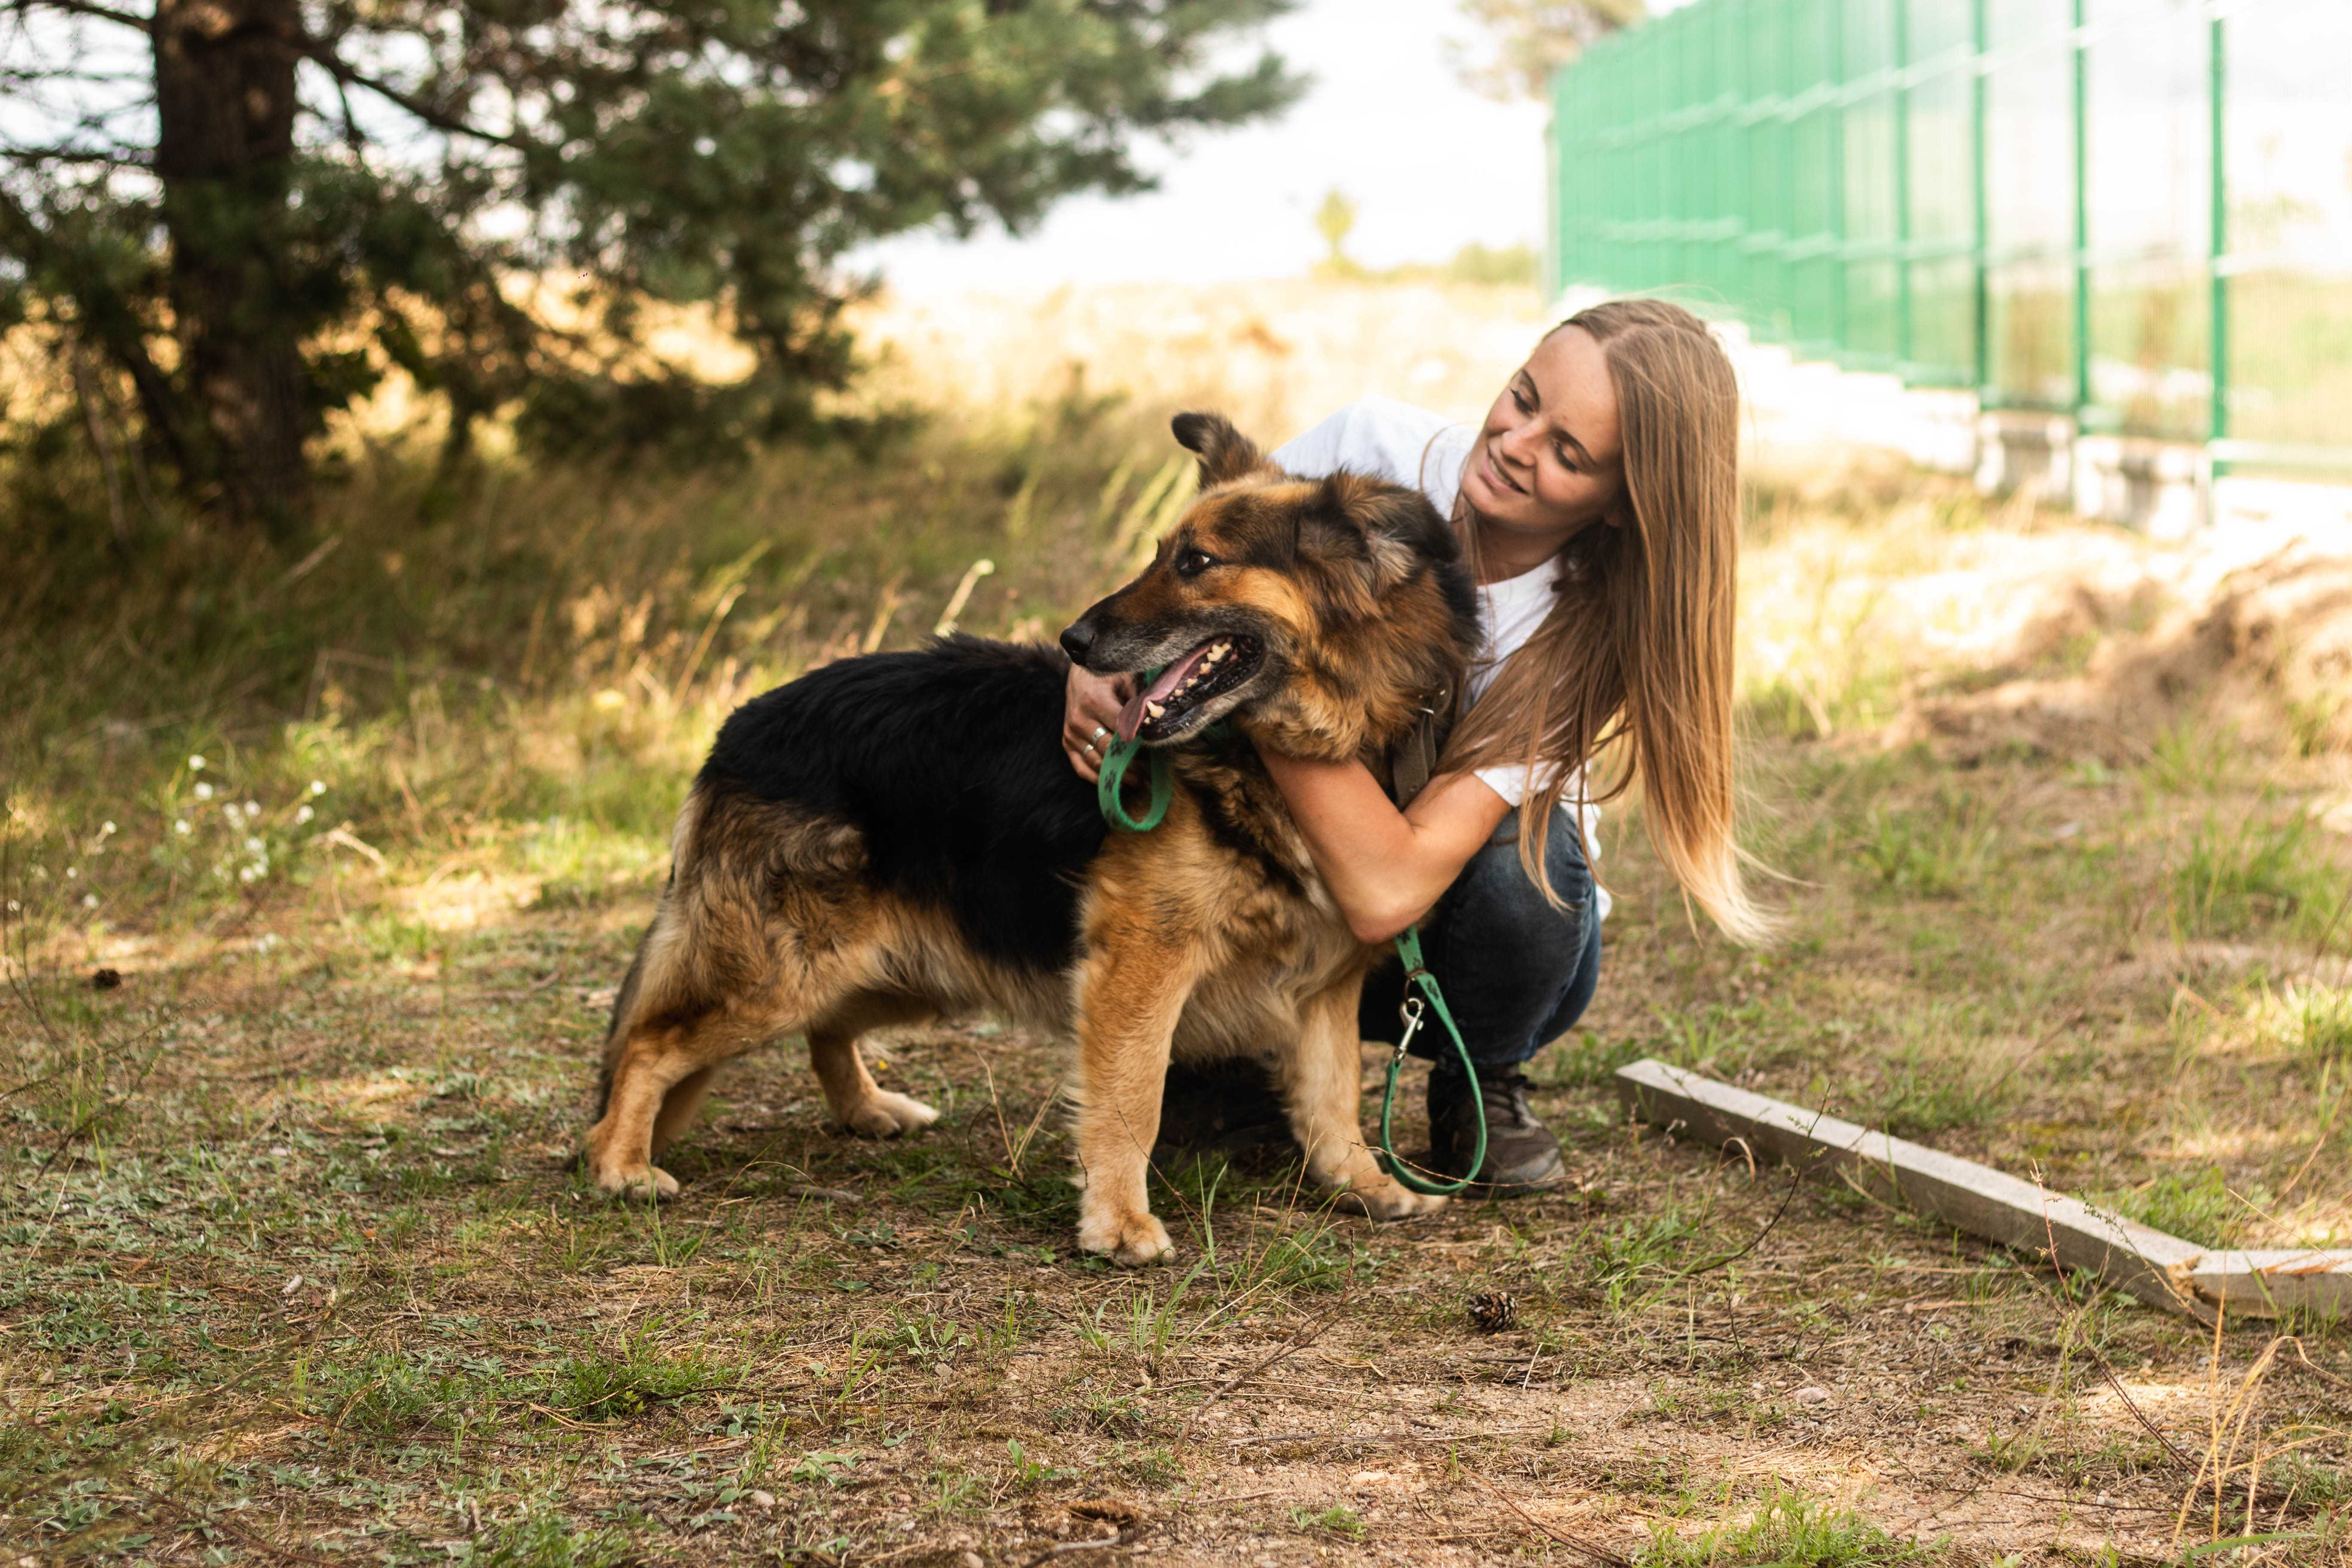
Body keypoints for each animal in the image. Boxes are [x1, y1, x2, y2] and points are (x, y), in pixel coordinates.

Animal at [583, 413, 1467, 1260]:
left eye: (1198, 562)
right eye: (1160, 555)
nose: (1074, 640)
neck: (1274, 750)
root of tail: (740, 725)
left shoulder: (1326, 976)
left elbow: (1333, 1094)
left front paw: (1362, 1182)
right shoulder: (1143, 962)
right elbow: (1132, 1097)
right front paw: (1118, 1223)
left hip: (894, 961)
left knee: (823, 1026)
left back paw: (866, 1108)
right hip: (789, 967)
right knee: (649, 1046)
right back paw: (620, 1163)